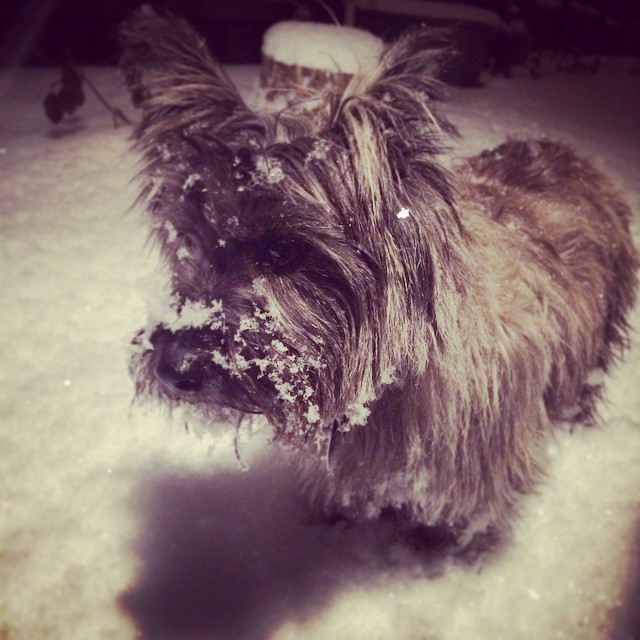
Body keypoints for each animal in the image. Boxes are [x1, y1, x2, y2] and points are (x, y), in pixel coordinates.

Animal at [119, 8, 636, 552]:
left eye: (284, 251)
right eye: (190, 238)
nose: (173, 367)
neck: (386, 386)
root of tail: (571, 151)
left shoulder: (475, 466)